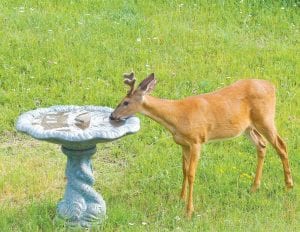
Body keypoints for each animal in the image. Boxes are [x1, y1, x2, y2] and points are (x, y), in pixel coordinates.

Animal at [109, 72, 292, 218]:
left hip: (265, 118)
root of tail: (272, 86)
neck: (176, 116)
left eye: (125, 102)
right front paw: (180, 198)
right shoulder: (183, 144)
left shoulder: (196, 141)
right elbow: (183, 170)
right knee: (262, 145)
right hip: (247, 127)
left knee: (281, 145)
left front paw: (189, 211)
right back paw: (254, 188)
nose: (112, 116)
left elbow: (191, 174)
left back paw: (288, 185)